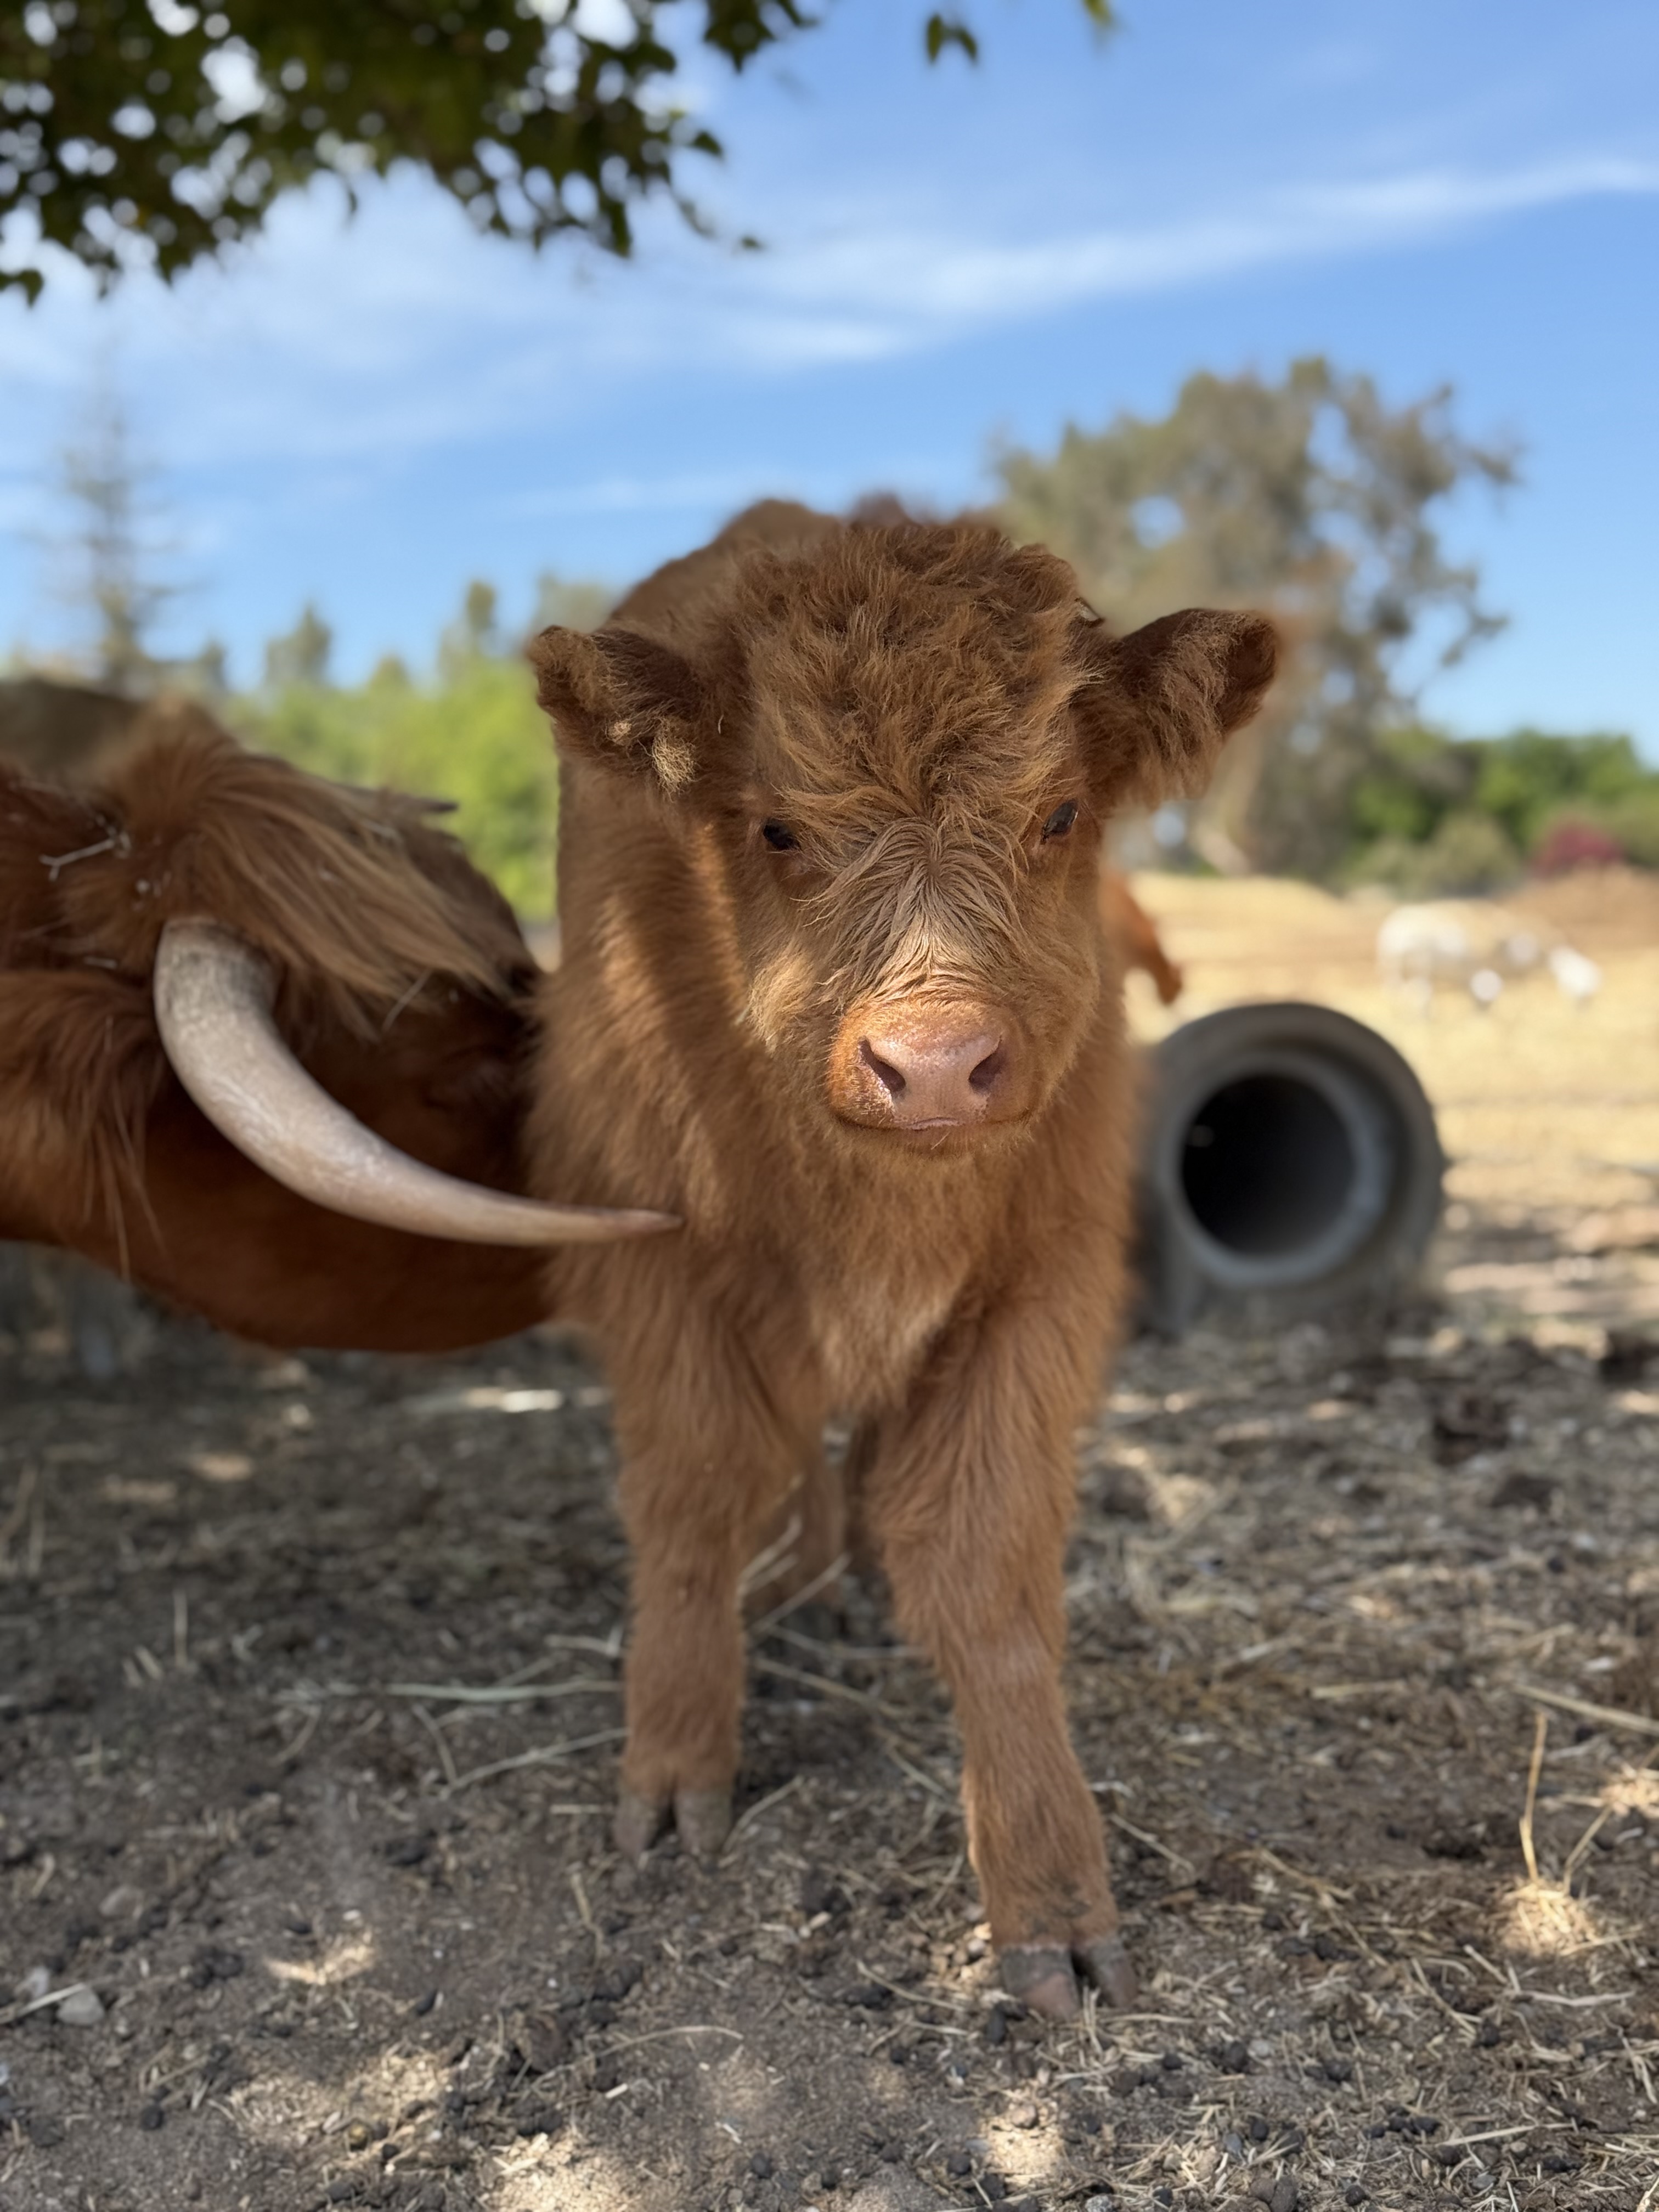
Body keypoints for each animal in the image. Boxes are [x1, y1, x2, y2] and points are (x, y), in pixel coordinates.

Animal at [10, 515, 1274, 2016]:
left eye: (1060, 815)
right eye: (779, 827)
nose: (934, 1067)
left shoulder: (1040, 1286)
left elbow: (983, 1570)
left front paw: (1052, 1895)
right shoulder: (670, 1285)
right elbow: (692, 1503)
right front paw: (674, 1772)